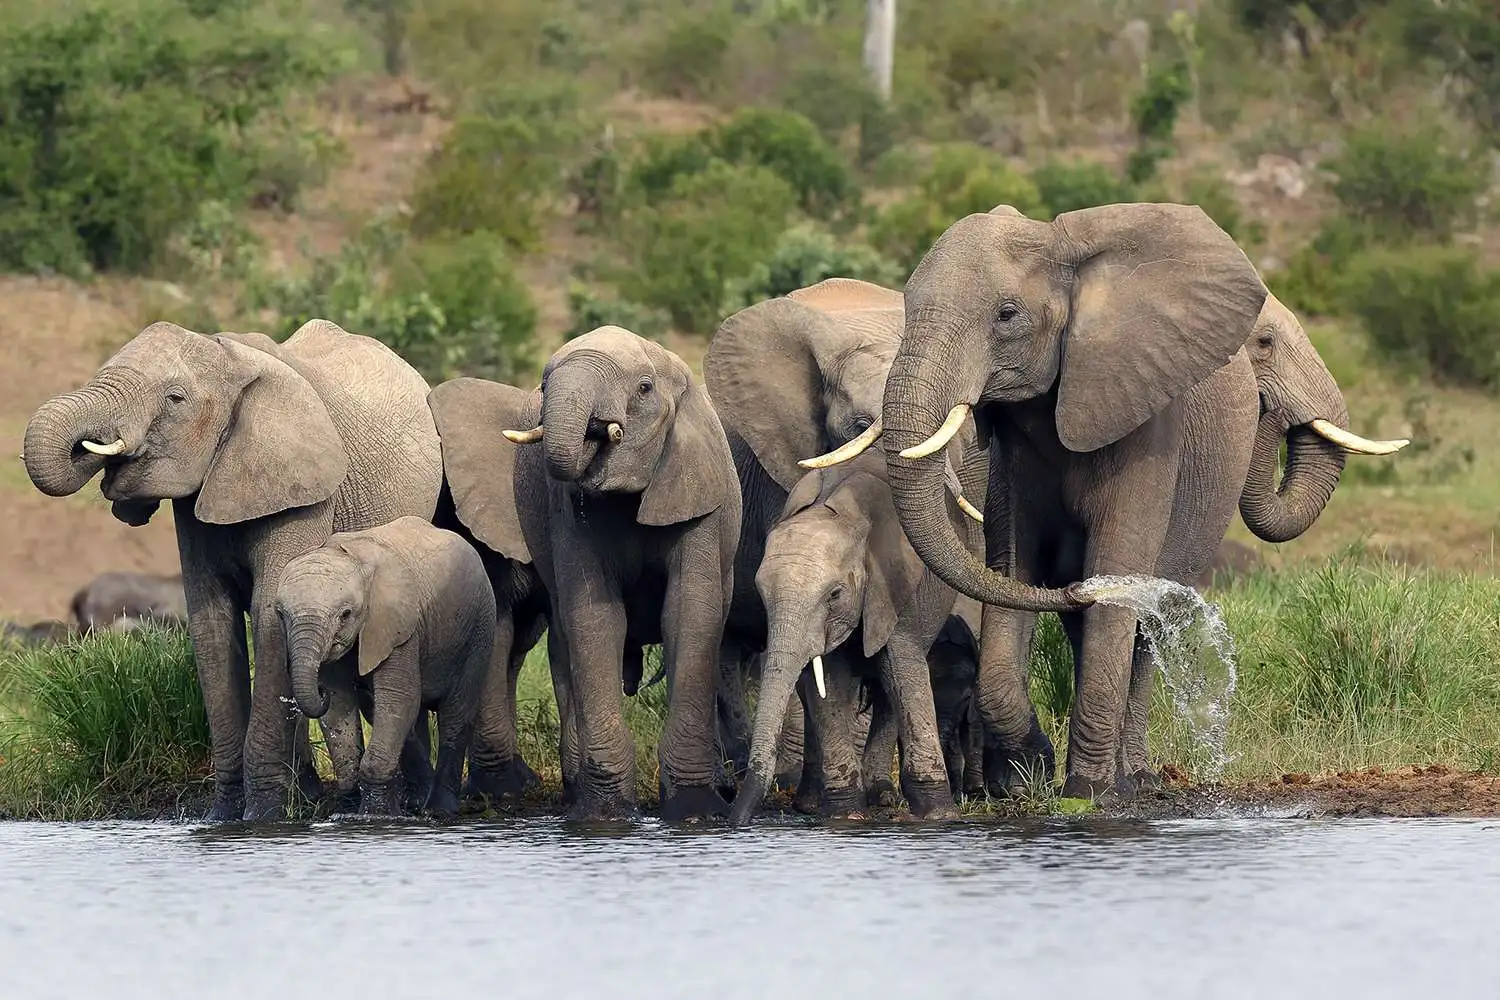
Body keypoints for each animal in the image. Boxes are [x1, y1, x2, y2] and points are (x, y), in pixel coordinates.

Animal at [21, 319, 443, 821]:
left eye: (175, 399)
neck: (230, 357)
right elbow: (212, 626)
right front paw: (222, 816)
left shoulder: (302, 491)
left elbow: (268, 616)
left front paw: (261, 816)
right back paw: (309, 794)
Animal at [277, 517, 495, 817]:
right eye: (280, 615)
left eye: (346, 614)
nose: (319, 692)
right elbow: (340, 706)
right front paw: (347, 810)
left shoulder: (398, 625)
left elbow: (399, 698)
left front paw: (374, 814)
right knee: (393, 715)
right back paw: (417, 801)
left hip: (478, 629)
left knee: (455, 713)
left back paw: (439, 809)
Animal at [502, 326, 742, 821]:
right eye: (544, 385)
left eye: (644, 389)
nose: (596, 429)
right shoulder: (569, 513)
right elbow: (596, 620)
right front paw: (605, 813)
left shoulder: (698, 497)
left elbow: (689, 614)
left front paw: (693, 810)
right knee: (563, 639)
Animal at [729, 449, 981, 824]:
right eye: (761, 594)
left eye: (834, 594)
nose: (735, 821)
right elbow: (828, 682)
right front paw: (847, 814)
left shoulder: (893, 586)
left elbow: (901, 666)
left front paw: (939, 814)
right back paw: (815, 803)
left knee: (889, 685)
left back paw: (883, 797)